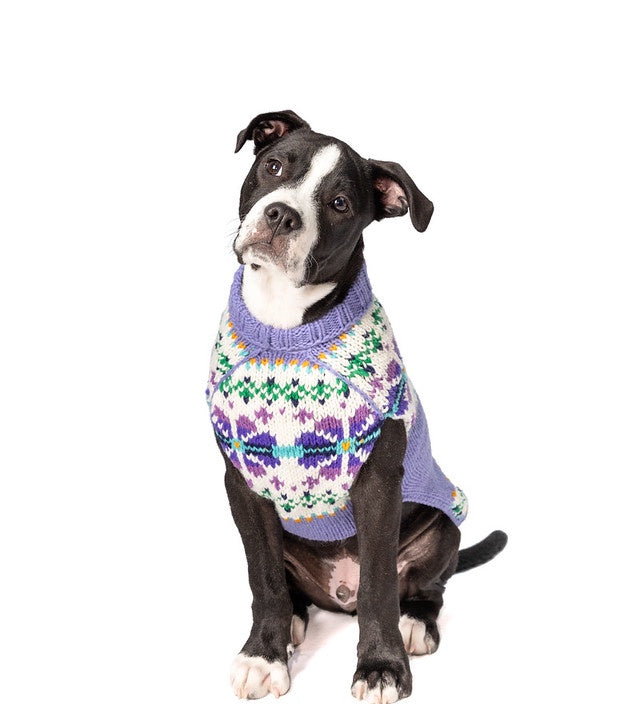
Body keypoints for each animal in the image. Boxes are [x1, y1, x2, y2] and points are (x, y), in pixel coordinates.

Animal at [206, 110, 507, 703]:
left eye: (340, 203)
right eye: (274, 166)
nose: (281, 214)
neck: (285, 327)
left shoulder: (377, 484)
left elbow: (377, 589)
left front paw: (381, 667)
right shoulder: (243, 484)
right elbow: (263, 578)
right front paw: (264, 656)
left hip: (444, 521)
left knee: (423, 587)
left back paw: (414, 622)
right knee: (290, 586)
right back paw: (294, 622)